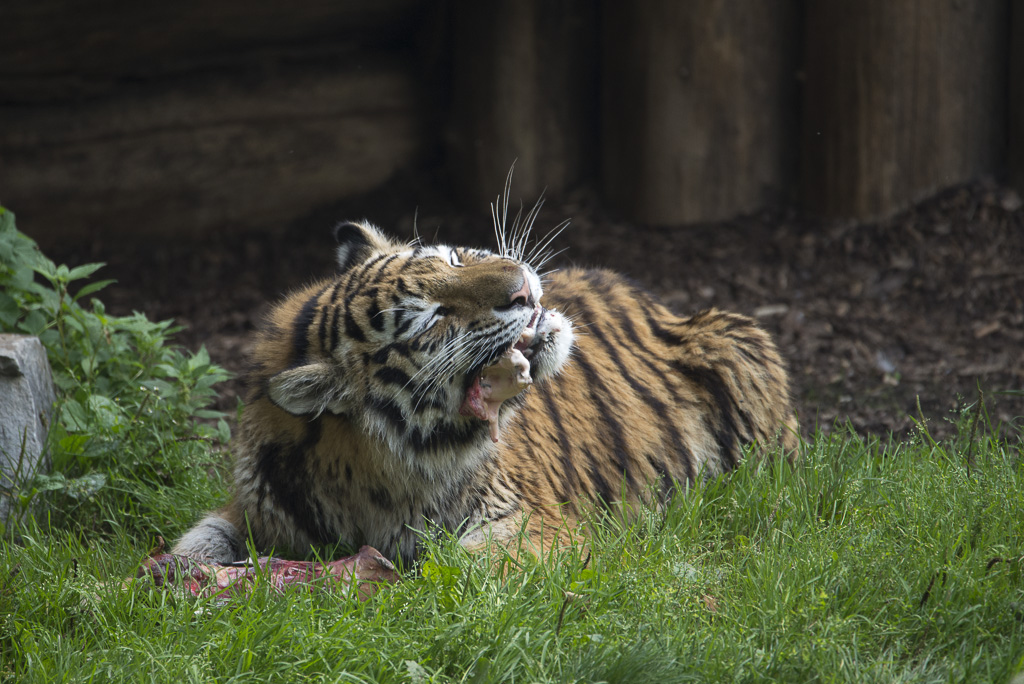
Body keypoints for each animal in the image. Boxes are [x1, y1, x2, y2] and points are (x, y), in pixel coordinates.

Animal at [173, 214, 798, 567]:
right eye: (429, 319)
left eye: (451, 257)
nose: (522, 286)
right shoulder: (256, 508)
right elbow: (195, 541)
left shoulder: (525, 521)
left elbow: (460, 567)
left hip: (737, 344)